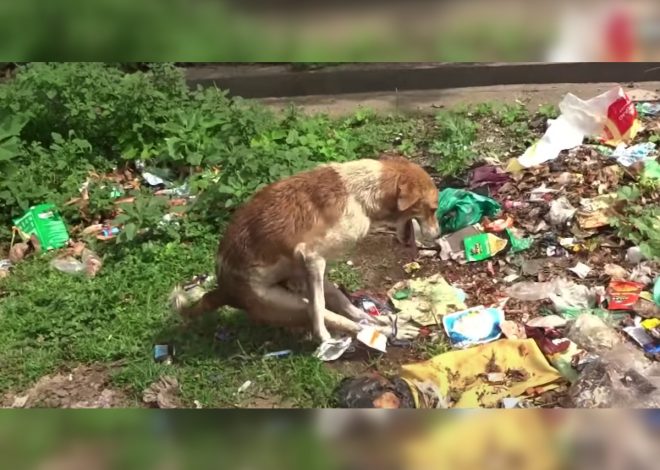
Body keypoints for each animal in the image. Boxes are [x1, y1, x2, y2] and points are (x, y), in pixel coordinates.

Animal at [170, 154, 440, 342]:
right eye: (433, 209)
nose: (438, 237)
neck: (360, 192)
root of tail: (222, 290)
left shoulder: (313, 267)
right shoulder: (311, 257)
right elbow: (318, 310)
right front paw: (322, 337)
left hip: (312, 284)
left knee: (353, 312)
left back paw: (387, 324)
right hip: (290, 302)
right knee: (338, 318)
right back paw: (388, 332)